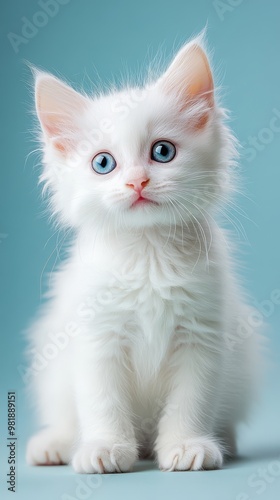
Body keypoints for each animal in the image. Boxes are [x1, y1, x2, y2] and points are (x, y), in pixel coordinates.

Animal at [26, 36, 258, 472]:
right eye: (103, 163)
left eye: (162, 152)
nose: (137, 182)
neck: (149, 254)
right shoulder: (97, 336)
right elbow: (102, 402)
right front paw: (105, 448)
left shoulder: (201, 336)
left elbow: (191, 401)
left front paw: (187, 445)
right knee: (64, 416)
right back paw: (55, 445)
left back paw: (225, 440)